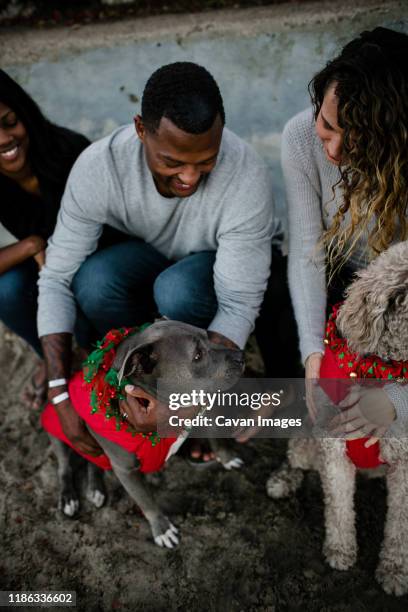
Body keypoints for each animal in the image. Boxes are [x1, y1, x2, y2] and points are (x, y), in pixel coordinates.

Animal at [47, 322, 245, 548]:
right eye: (197, 355)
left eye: (208, 336)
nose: (241, 355)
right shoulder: (125, 470)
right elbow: (145, 500)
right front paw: (162, 528)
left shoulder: (199, 409)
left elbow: (216, 437)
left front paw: (227, 457)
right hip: (61, 435)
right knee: (64, 467)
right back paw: (68, 497)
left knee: (93, 462)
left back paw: (96, 488)